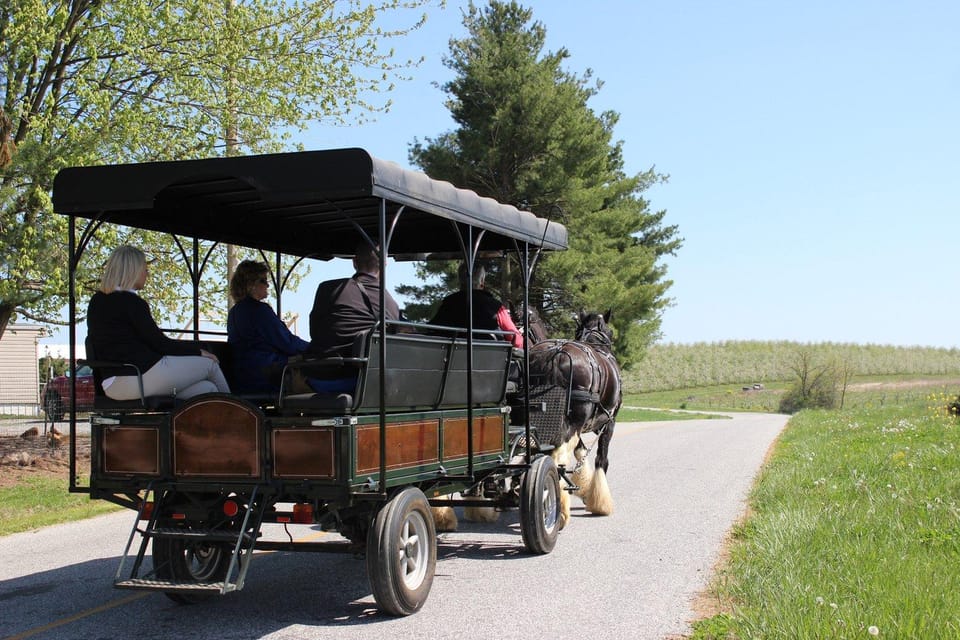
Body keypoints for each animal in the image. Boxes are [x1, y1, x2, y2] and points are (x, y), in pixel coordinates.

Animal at [520, 308, 628, 524]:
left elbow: (580, 451)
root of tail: (555, 354)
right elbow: (601, 460)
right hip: (577, 420)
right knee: (558, 457)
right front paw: (599, 502)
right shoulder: (609, 422)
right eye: (610, 331)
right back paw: (560, 510)